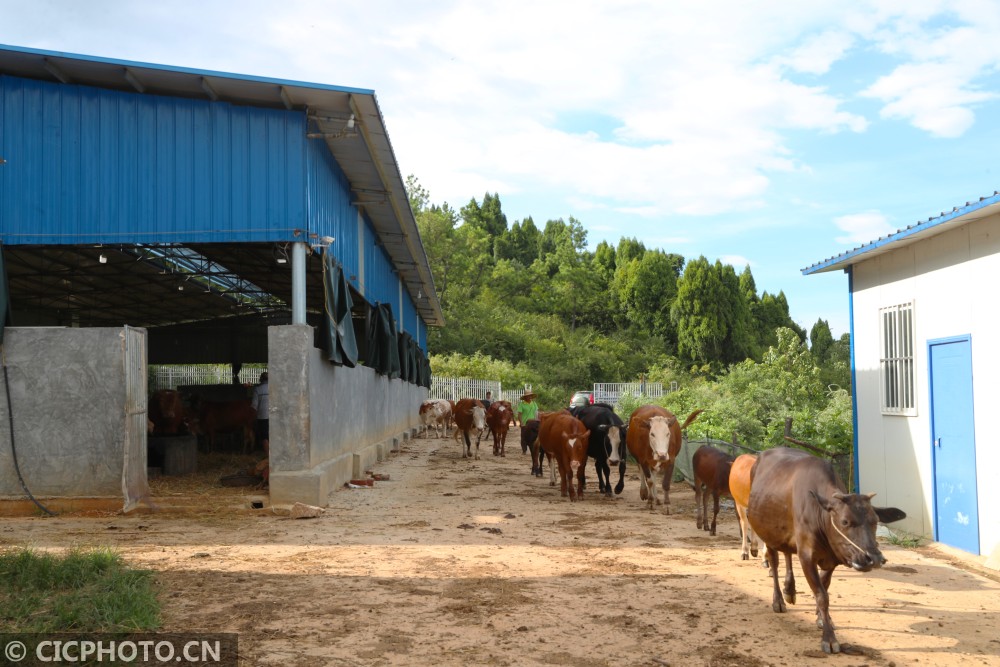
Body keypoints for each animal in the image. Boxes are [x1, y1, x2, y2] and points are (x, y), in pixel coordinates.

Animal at [752, 446, 908, 656]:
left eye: (875, 521)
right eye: (845, 521)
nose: (873, 558)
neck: (820, 514)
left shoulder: (833, 559)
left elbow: (824, 588)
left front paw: (821, 618)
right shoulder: (807, 556)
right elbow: (821, 595)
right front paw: (829, 638)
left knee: (787, 553)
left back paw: (790, 590)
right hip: (767, 534)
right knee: (775, 562)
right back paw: (779, 600)